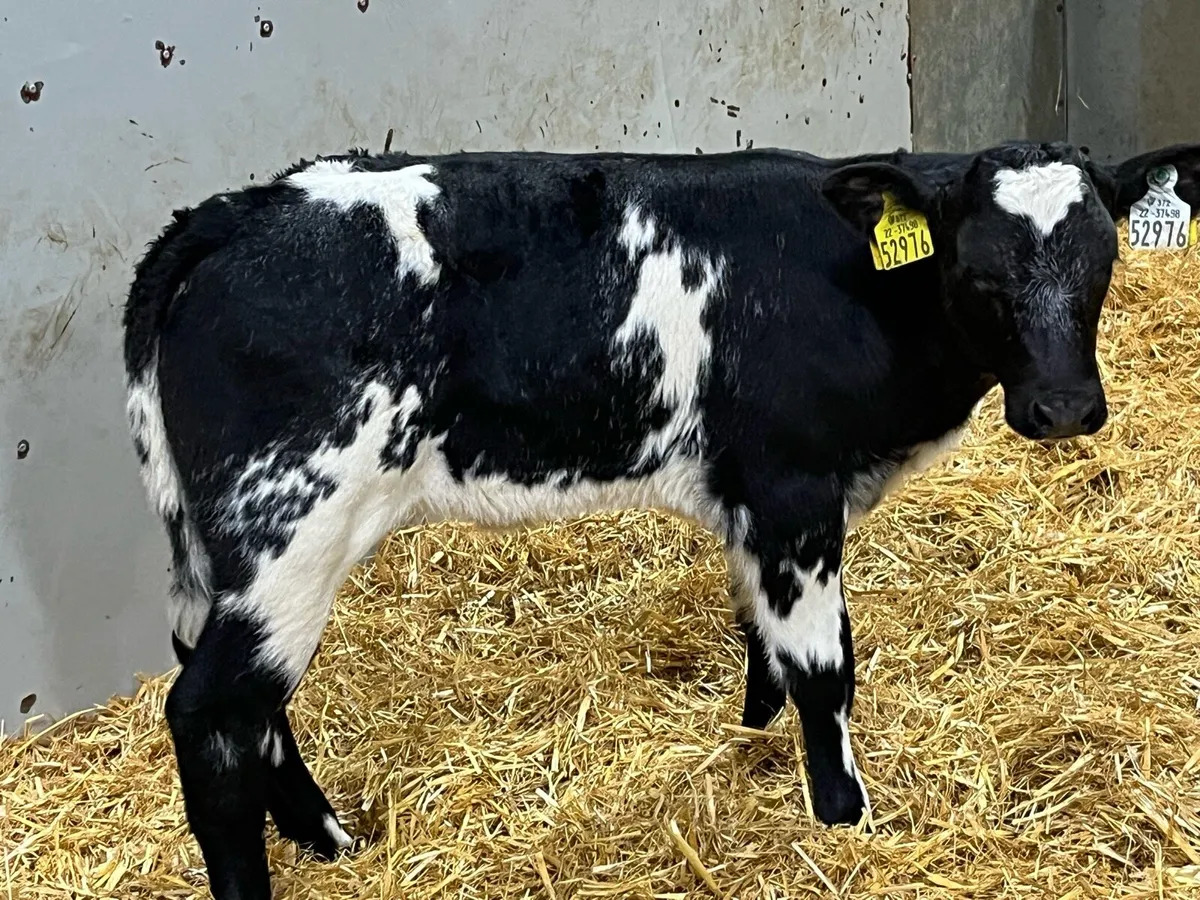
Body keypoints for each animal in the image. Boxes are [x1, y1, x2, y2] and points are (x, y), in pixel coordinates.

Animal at [123, 139, 1200, 899]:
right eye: (980, 275)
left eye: (1102, 265)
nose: (1065, 409)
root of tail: (233, 212)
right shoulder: (792, 490)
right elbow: (825, 666)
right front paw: (843, 819)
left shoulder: (750, 500)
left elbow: (764, 639)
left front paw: (753, 736)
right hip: (293, 521)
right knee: (214, 712)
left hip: (238, 553)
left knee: (246, 702)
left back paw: (330, 839)